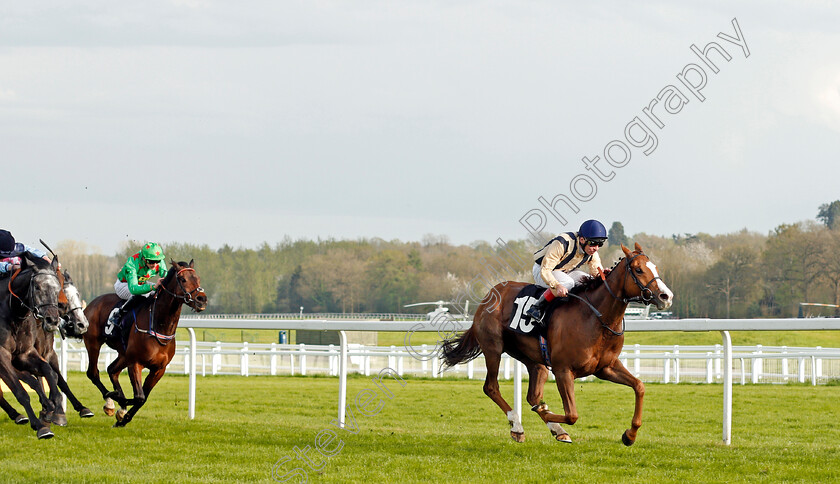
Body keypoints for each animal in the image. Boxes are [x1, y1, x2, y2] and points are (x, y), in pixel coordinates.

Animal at [0, 253, 64, 438]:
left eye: (58, 289)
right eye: (37, 287)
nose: (52, 320)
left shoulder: (24, 354)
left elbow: (48, 371)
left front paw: (53, 407)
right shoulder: (2, 355)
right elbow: (20, 391)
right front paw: (40, 425)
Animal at [82, 260, 207, 428]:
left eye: (198, 278)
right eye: (183, 279)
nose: (202, 299)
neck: (158, 325)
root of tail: (91, 304)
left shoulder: (159, 369)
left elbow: (143, 398)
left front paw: (123, 417)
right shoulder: (135, 363)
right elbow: (139, 396)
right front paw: (119, 403)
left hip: (123, 353)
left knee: (112, 370)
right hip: (93, 343)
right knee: (93, 373)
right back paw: (110, 402)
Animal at [442, 244, 672, 444]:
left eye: (656, 268)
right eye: (639, 270)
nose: (666, 296)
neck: (596, 318)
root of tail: (488, 296)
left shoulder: (605, 367)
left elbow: (639, 386)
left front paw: (630, 435)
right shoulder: (563, 370)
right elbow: (572, 415)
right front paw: (545, 413)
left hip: (534, 360)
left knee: (533, 394)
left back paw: (555, 429)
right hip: (493, 348)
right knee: (491, 387)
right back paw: (518, 426)